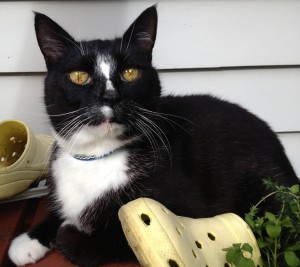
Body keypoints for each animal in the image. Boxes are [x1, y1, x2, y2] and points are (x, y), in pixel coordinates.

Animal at [7, 4, 298, 267]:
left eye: (130, 73)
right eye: (79, 76)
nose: (110, 96)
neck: (98, 155)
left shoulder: (185, 210)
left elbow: (116, 235)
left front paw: (68, 232)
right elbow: (61, 209)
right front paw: (28, 241)